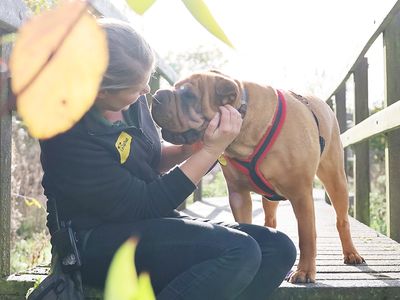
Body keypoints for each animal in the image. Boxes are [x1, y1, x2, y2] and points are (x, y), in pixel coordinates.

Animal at [151, 70, 366, 284]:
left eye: (189, 95)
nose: (156, 96)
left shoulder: (301, 194)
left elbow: (306, 236)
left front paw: (304, 271)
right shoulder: (238, 195)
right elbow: (245, 224)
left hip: (336, 180)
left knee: (342, 220)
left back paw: (351, 253)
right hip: (270, 196)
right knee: (270, 218)